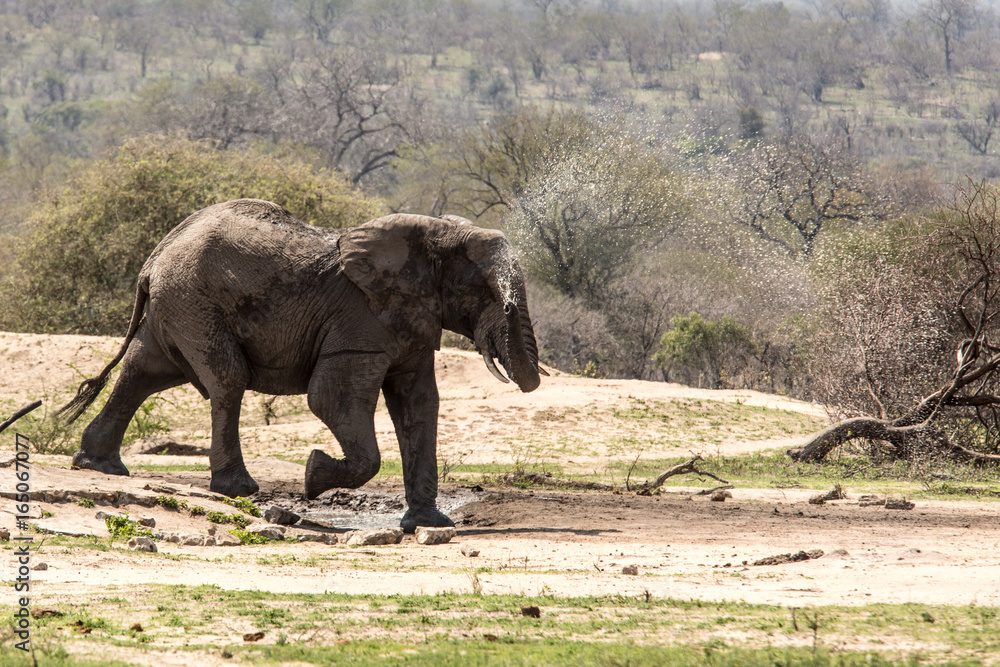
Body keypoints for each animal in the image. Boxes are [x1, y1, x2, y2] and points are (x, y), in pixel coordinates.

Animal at [59, 198, 544, 531]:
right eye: (485, 289)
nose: (506, 308)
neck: (431, 234)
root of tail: (155, 256)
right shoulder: (361, 322)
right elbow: (331, 399)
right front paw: (313, 475)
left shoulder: (411, 321)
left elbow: (419, 405)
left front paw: (429, 523)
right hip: (194, 303)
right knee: (226, 380)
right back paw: (239, 489)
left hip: (177, 306)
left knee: (143, 371)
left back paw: (99, 466)